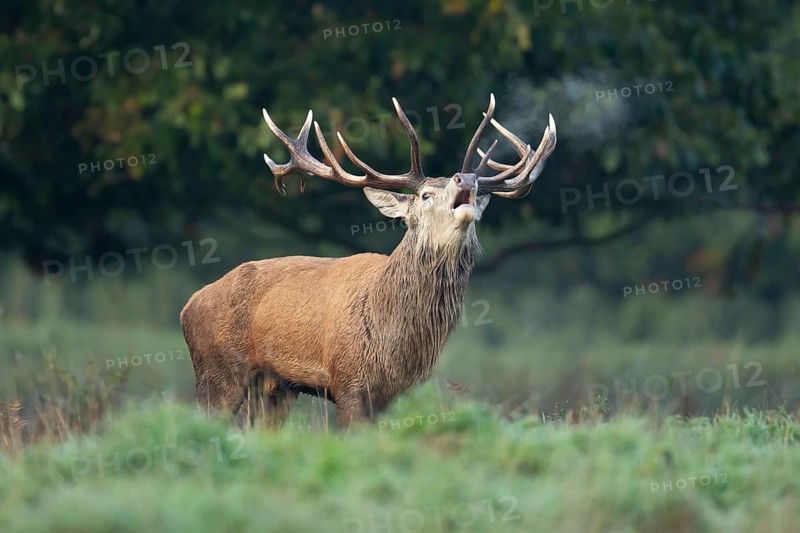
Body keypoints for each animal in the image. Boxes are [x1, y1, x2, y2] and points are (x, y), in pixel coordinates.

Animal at [180, 94, 556, 428]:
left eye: (475, 194)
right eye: (425, 195)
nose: (467, 178)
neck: (394, 342)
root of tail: (188, 306)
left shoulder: (400, 393)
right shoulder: (347, 382)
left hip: (274, 388)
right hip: (217, 374)